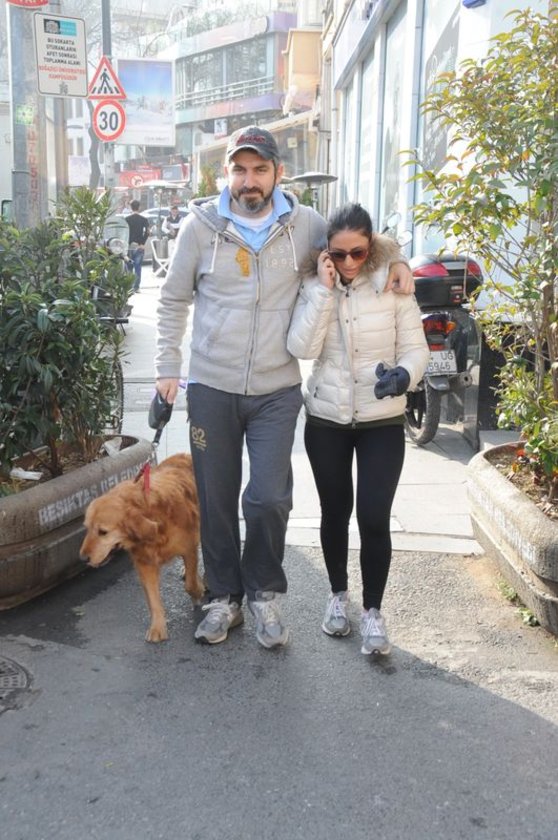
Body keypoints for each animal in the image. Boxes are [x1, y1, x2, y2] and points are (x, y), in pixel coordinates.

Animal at [80, 453, 205, 642]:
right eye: (87, 528)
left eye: (103, 532)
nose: (83, 558)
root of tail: (185, 454)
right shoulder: (145, 563)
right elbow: (153, 600)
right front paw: (157, 627)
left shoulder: (188, 548)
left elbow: (190, 583)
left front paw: (198, 591)